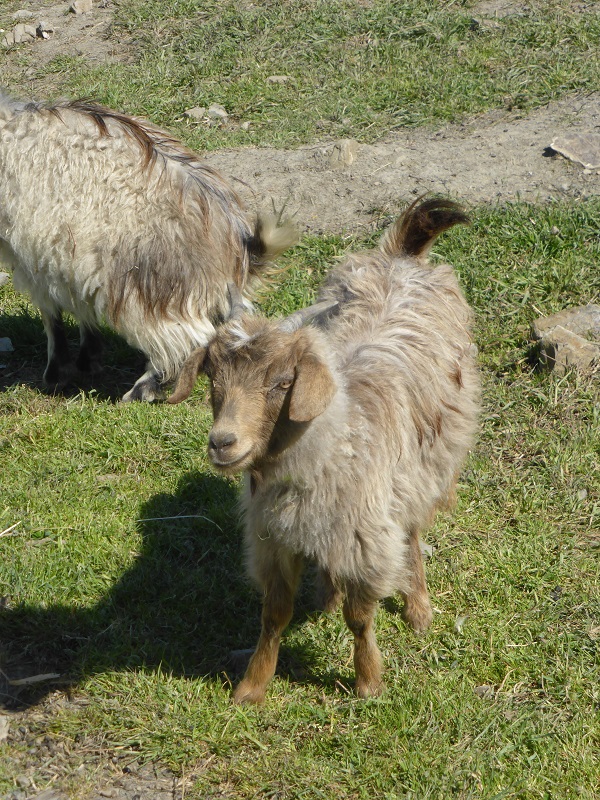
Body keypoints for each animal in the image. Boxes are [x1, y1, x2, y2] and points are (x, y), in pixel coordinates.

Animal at [0, 90, 296, 400]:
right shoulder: (67, 253)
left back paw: (143, 389)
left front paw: (56, 373)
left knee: (187, 334)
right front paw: (87, 359)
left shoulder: (33, 252)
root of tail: (235, 239)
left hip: (146, 280)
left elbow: (50, 309)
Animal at [171, 198, 480, 700]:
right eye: (211, 378)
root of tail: (403, 257)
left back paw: (417, 609)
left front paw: (368, 681)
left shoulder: (363, 541)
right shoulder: (273, 541)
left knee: (412, 533)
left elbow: (360, 619)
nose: (223, 442)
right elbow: (274, 616)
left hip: (425, 466)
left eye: (282, 382)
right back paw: (327, 595)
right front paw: (252, 687)